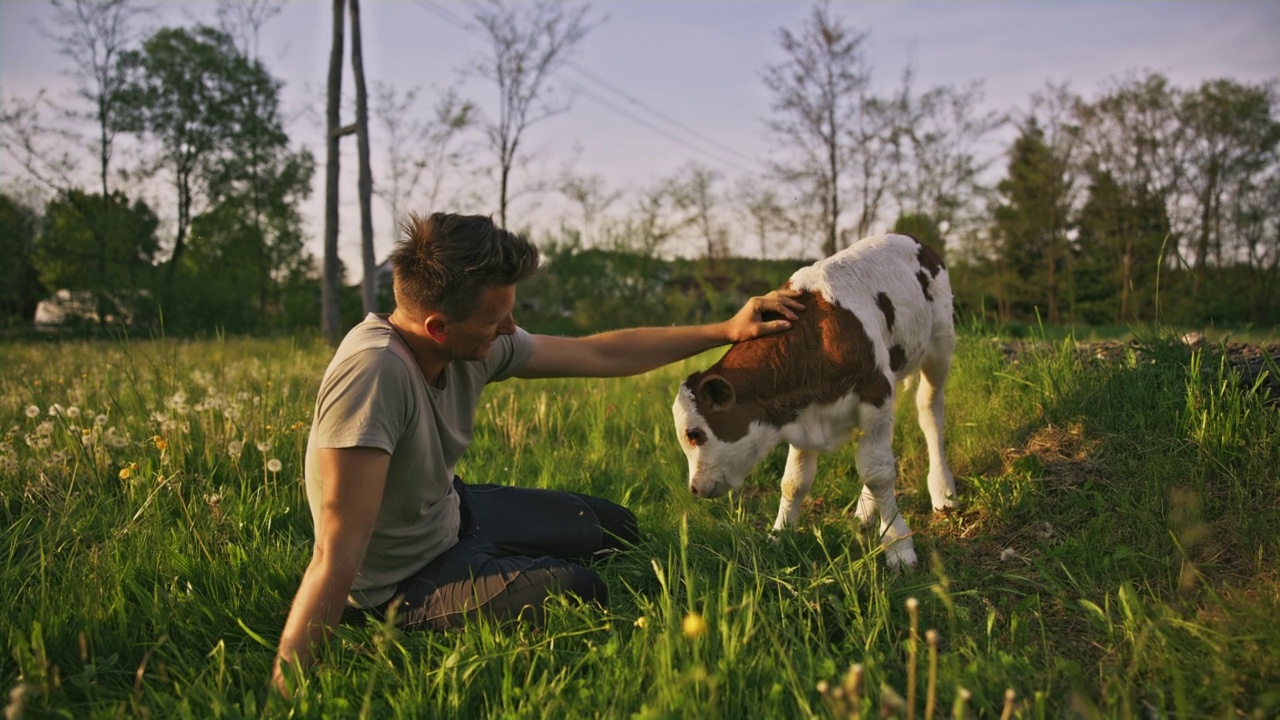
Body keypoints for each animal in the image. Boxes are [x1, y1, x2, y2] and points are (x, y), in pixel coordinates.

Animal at [675, 230, 957, 566]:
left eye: (694, 434)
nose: (694, 487)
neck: (814, 337)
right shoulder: (801, 411)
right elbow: (794, 482)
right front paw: (779, 536)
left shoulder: (874, 390)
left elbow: (878, 473)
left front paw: (897, 545)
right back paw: (865, 510)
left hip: (940, 344)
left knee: (929, 412)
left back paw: (943, 491)